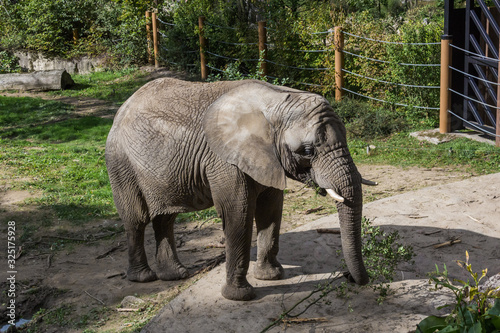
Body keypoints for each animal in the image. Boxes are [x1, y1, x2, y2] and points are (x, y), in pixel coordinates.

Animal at [105, 78, 376, 300]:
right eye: (307, 151)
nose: (350, 278)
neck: (276, 101)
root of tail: (122, 108)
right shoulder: (224, 160)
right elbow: (238, 214)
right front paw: (240, 296)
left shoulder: (268, 159)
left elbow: (271, 210)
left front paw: (271, 277)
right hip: (120, 162)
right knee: (136, 220)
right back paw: (143, 277)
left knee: (165, 218)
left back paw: (176, 275)